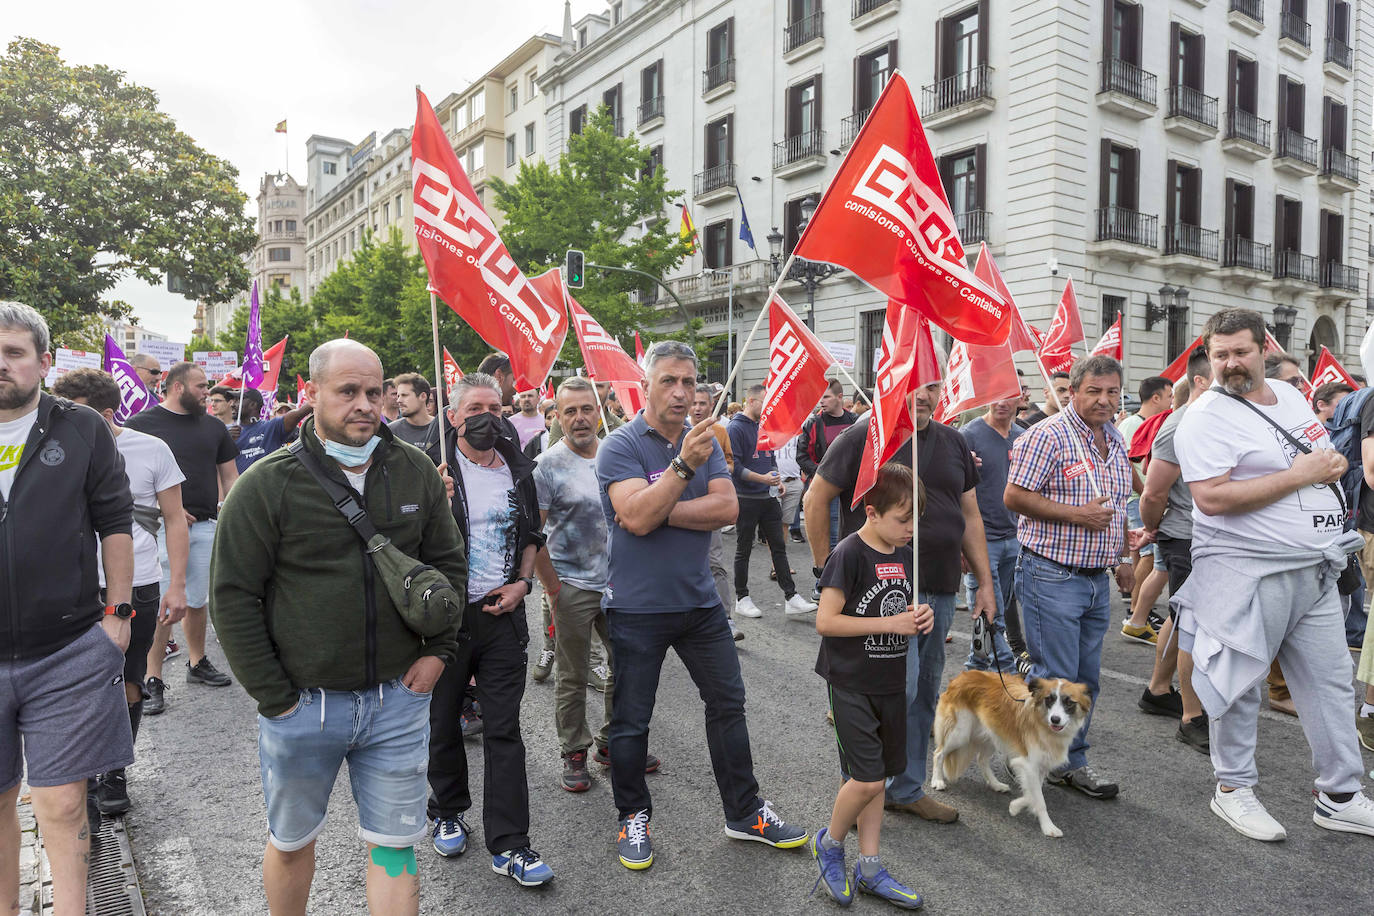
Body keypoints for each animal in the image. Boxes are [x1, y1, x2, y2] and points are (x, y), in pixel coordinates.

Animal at [928, 667, 1088, 840]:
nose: (1055, 719)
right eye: (1049, 699)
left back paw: (996, 784)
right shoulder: (1027, 764)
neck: (1043, 722)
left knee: (981, 759)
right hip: (961, 733)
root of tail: (962, 676)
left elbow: (1033, 793)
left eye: (1069, 702)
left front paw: (1015, 806)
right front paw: (1048, 826)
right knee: (938, 753)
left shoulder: (1040, 766)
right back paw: (937, 780)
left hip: (992, 733)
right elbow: (1039, 799)